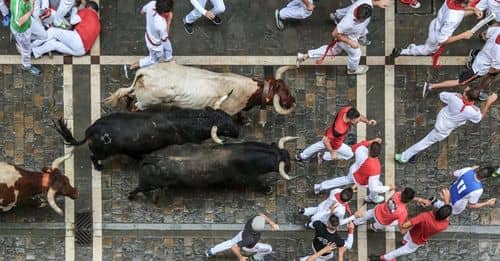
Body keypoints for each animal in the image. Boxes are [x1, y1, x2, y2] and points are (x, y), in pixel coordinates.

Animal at [53, 94, 240, 170]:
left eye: (226, 116)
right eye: (225, 127)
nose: (238, 132)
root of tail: (91, 130)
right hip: (104, 152)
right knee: (94, 157)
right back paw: (99, 167)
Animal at [103, 61, 294, 125]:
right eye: (283, 91)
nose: (293, 100)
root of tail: (144, 72)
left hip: (138, 93)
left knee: (129, 96)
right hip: (146, 102)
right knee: (136, 106)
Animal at [129, 135, 298, 198]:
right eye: (286, 164)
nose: (290, 167)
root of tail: (150, 158)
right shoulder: (249, 178)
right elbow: (258, 183)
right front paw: (267, 189)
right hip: (147, 184)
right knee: (137, 189)